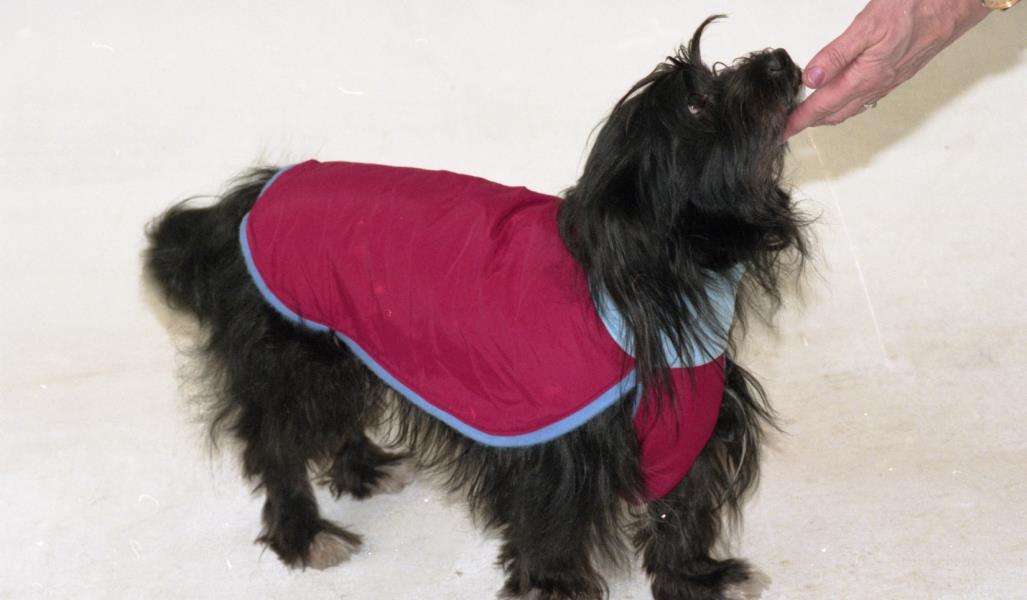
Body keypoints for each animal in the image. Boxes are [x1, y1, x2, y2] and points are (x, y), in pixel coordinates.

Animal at [145, 16, 807, 600]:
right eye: (697, 104)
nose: (781, 58)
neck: (649, 272)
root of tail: (244, 199)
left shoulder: (691, 422)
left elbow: (681, 512)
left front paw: (698, 579)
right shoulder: (559, 447)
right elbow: (552, 522)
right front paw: (555, 587)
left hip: (346, 349)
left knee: (334, 421)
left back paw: (366, 468)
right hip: (294, 357)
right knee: (276, 443)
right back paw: (303, 533)